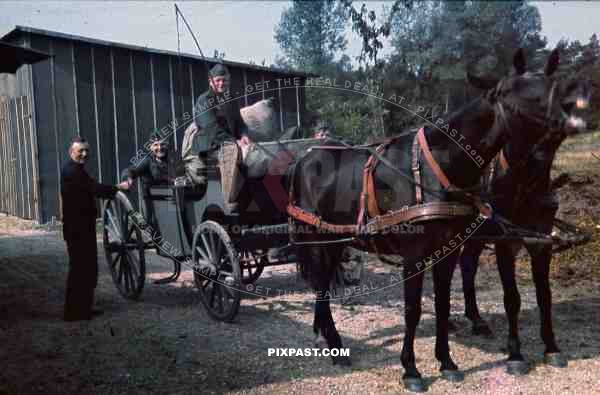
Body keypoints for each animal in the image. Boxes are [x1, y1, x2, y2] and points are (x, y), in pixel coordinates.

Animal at [288, 49, 580, 392]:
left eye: (553, 88)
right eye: (515, 96)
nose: (570, 120)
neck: (439, 167)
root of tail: (305, 156)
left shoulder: (451, 250)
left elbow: (442, 303)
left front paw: (447, 361)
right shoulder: (415, 255)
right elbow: (413, 310)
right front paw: (411, 370)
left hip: (336, 239)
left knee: (322, 282)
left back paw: (324, 335)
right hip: (318, 237)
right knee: (321, 283)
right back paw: (333, 343)